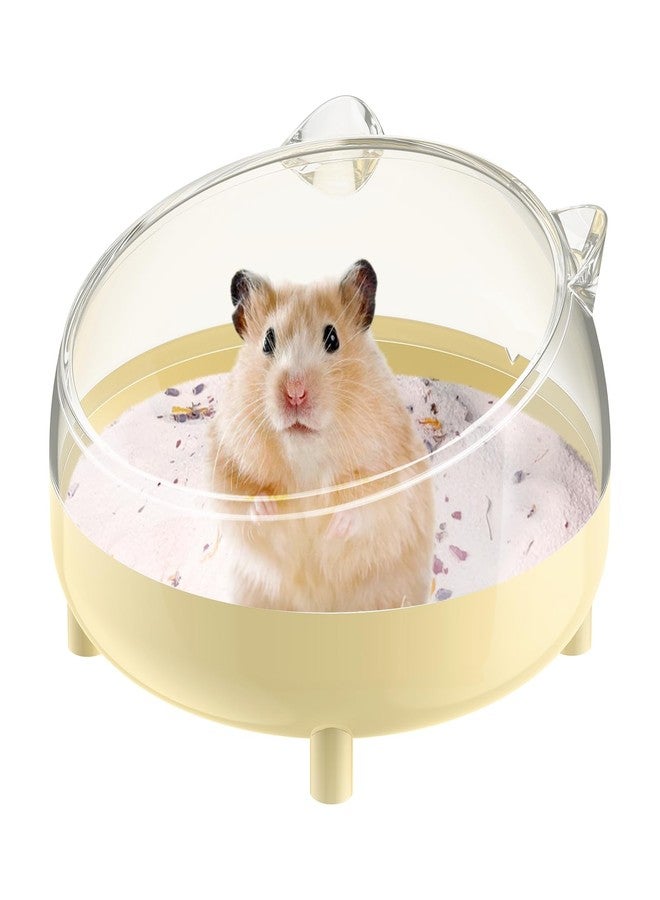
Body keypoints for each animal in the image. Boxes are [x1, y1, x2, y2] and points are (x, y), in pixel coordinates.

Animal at [210, 259, 435, 612]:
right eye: (267, 341)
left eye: (332, 338)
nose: (295, 393)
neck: (306, 455)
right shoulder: (225, 467)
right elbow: (241, 505)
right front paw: (267, 509)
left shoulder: (394, 474)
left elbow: (371, 506)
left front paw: (335, 525)